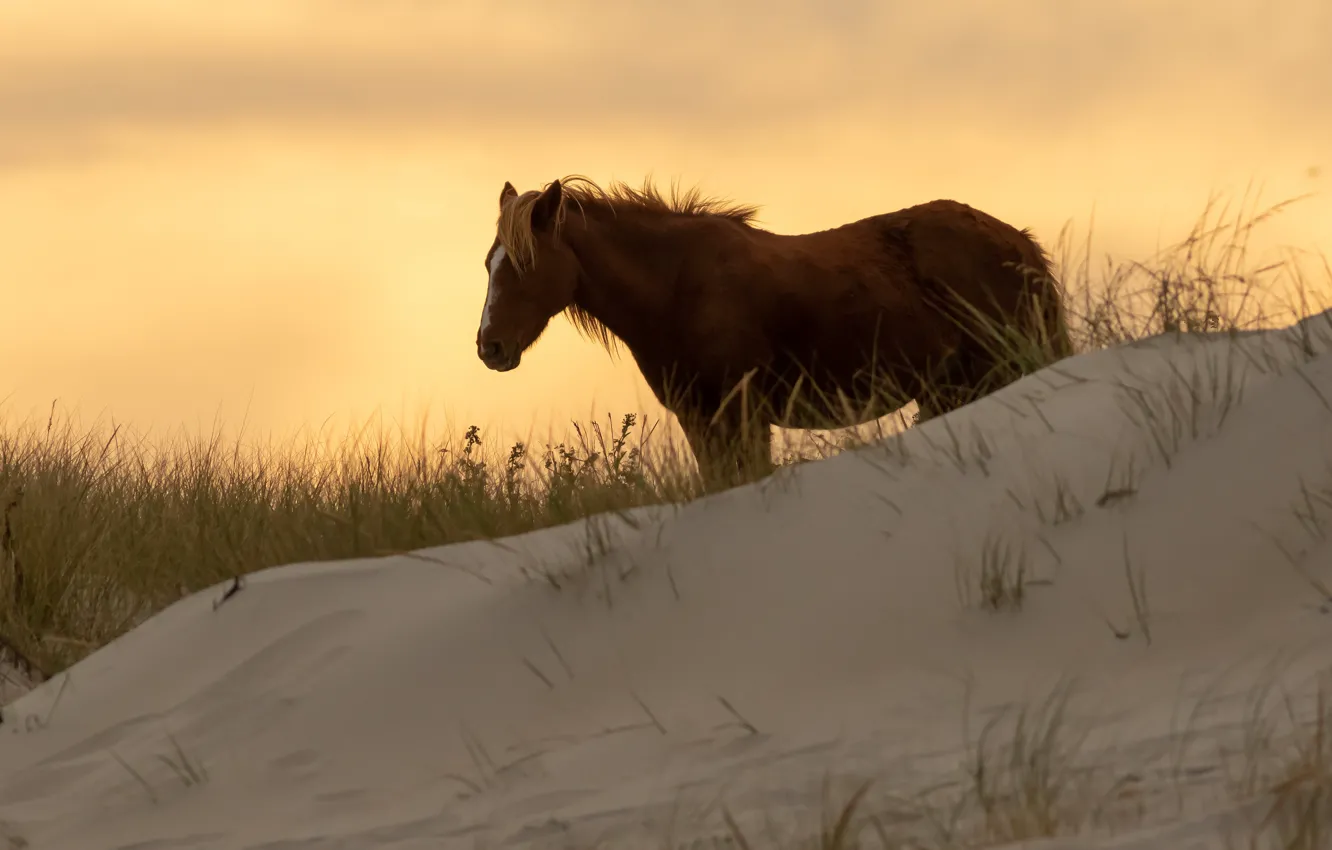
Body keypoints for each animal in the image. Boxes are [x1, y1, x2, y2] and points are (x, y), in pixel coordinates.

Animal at [474, 175, 1073, 483]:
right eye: (488, 263)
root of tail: (1020, 244)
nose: (489, 347)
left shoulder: (741, 413)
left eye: (524, 264)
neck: (677, 286)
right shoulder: (701, 420)